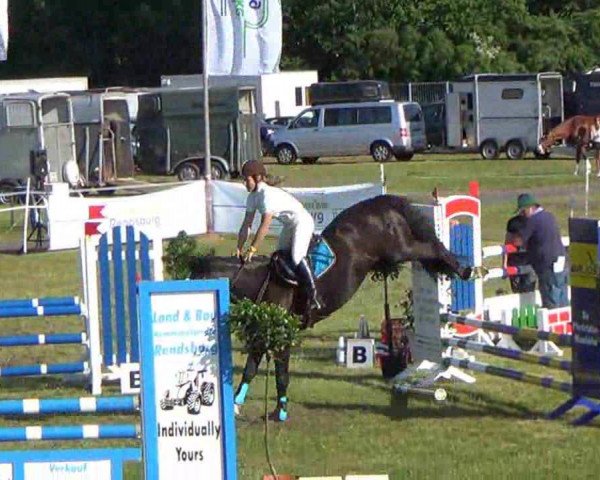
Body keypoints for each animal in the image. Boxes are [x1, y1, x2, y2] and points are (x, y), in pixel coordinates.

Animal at [190, 194, 472, 420]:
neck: (261, 281)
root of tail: (381, 203)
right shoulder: (266, 334)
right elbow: (250, 369)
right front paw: (237, 405)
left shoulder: (282, 337)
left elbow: (281, 374)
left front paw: (280, 412)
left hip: (399, 249)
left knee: (430, 247)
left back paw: (462, 269)